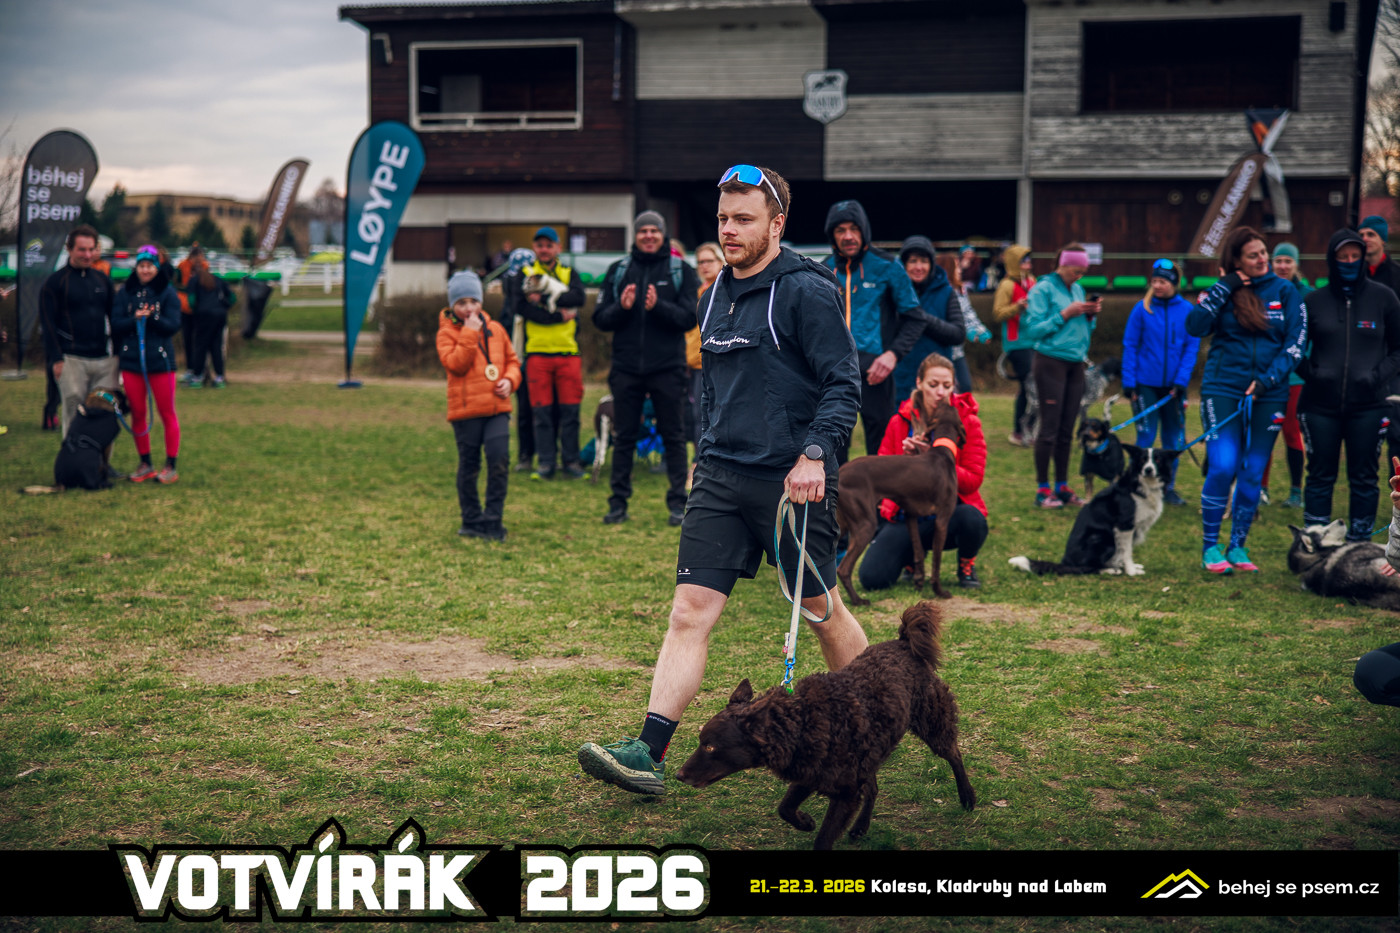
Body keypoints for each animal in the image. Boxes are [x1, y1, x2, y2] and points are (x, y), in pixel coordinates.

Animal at [675, 601, 975, 850]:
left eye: (710, 747)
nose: (678, 775)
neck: (801, 723)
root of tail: (904, 642)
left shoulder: (844, 793)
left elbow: (822, 840)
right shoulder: (810, 772)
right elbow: (784, 807)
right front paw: (805, 821)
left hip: (932, 721)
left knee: (954, 754)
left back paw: (968, 796)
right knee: (874, 787)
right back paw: (860, 827)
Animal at [835, 401, 966, 606]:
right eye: (952, 408)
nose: (944, 400)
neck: (942, 451)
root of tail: (839, 472)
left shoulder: (910, 515)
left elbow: (918, 553)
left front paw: (918, 583)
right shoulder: (942, 519)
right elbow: (936, 561)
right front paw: (939, 591)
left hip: (843, 526)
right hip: (865, 524)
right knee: (843, 568)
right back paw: (858, 600)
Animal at [1009, 445, 1180, 576]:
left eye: (1158, 459)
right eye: (1142, 459)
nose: (1148, 470)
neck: (1142, 485)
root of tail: (1067, 563)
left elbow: (1124, 551)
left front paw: (1126, 566)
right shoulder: (1124, 526)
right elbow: (1126, 551)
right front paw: (1131, 571)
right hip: (1102, 539)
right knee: (1088, 568)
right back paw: (1109, 570)